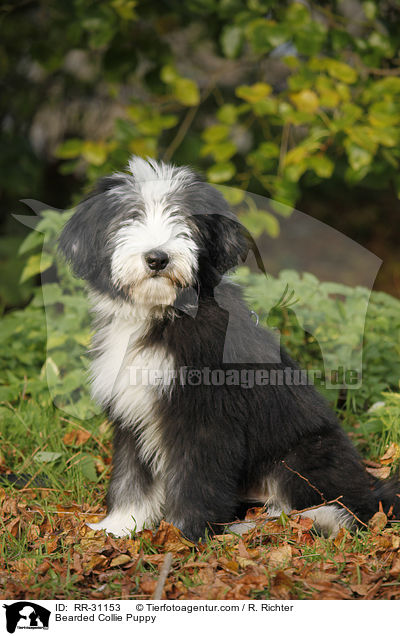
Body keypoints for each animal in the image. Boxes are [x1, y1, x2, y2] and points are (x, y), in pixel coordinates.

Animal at [59, 157, 400, 540]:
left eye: (184, 219)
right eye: (131, 216)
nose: (157, 258)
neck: (164, 315)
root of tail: (370, 485)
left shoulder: (206, 419)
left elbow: (196, 480)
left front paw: (183, 535)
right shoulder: (134, 413)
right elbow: (131, 477)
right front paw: (120, 526)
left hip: (304, 455)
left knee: (343, 507)